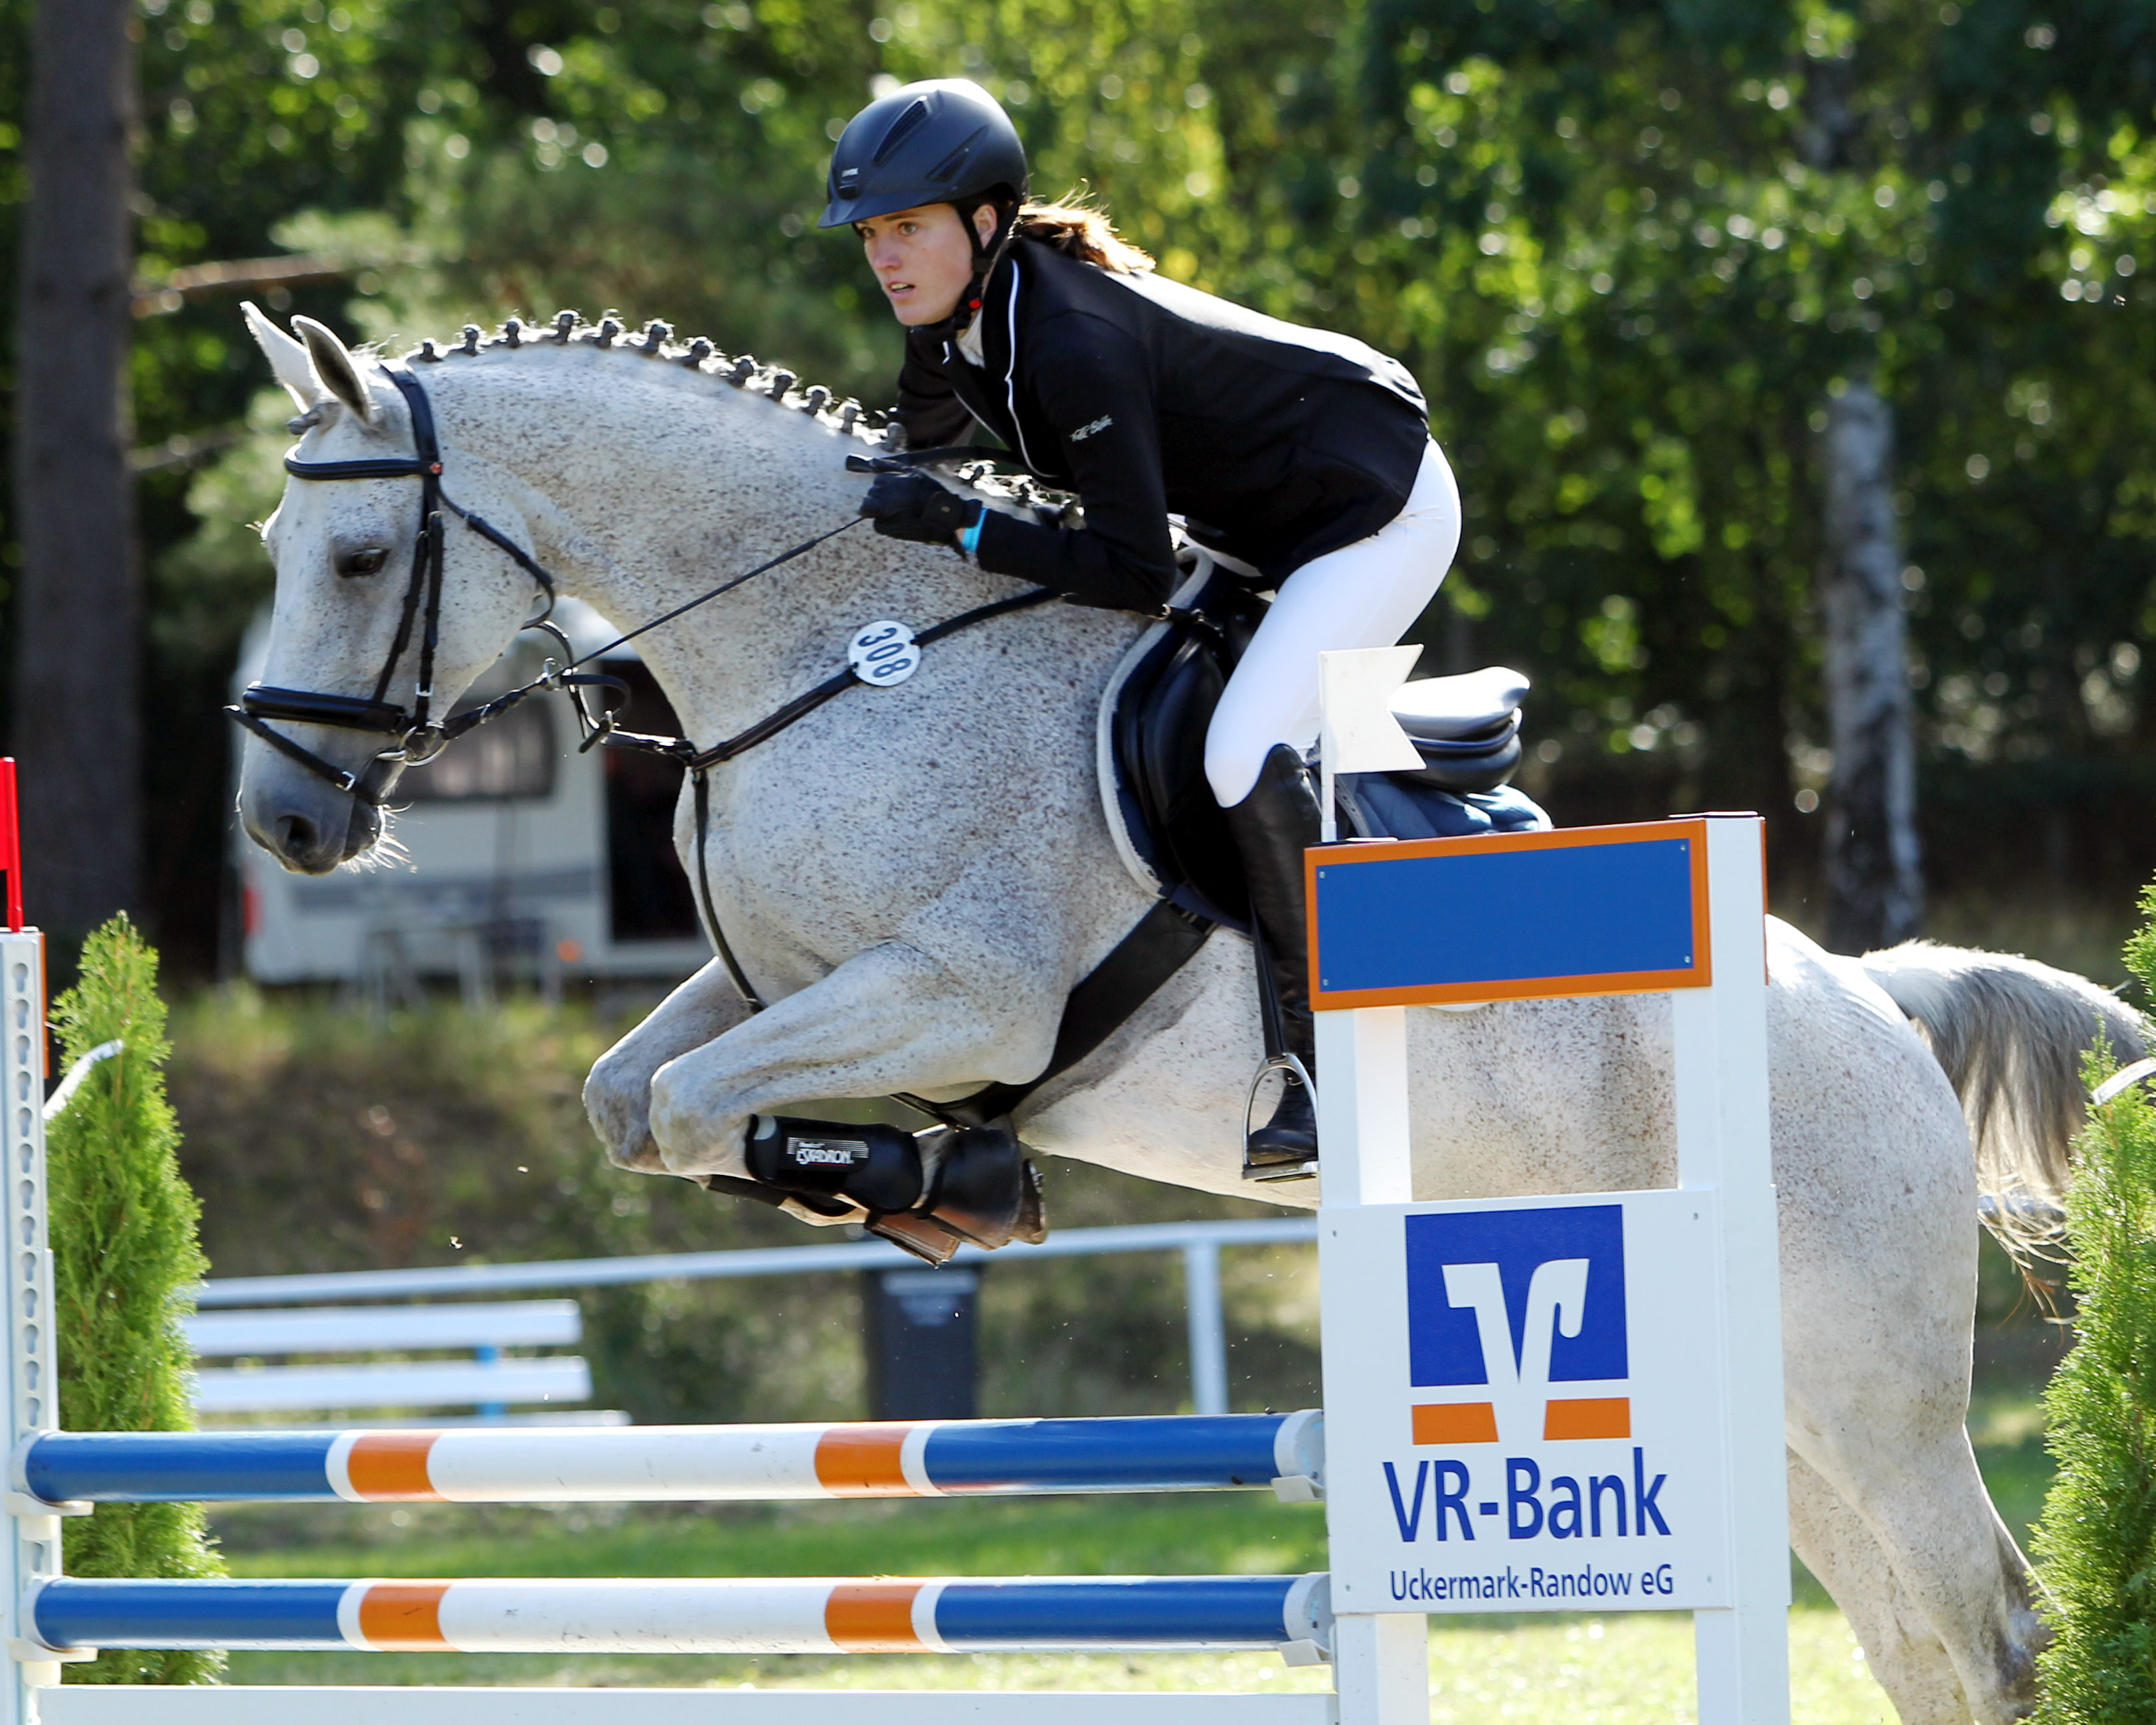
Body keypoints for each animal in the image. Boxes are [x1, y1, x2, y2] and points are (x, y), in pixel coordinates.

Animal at [240, 310, 2139, 1725]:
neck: (830, 651)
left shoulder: (959, 992)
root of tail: (1871, 996)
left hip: (1866, 1384)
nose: (285, 823)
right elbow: (632, 1100)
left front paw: (953, 1180)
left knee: (1988, 1633)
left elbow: (708, 1108)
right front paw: (923, 1184)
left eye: (358, 552)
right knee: (1916, 1647)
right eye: (274, 547)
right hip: (1775, 1399)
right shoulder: (779, 984)